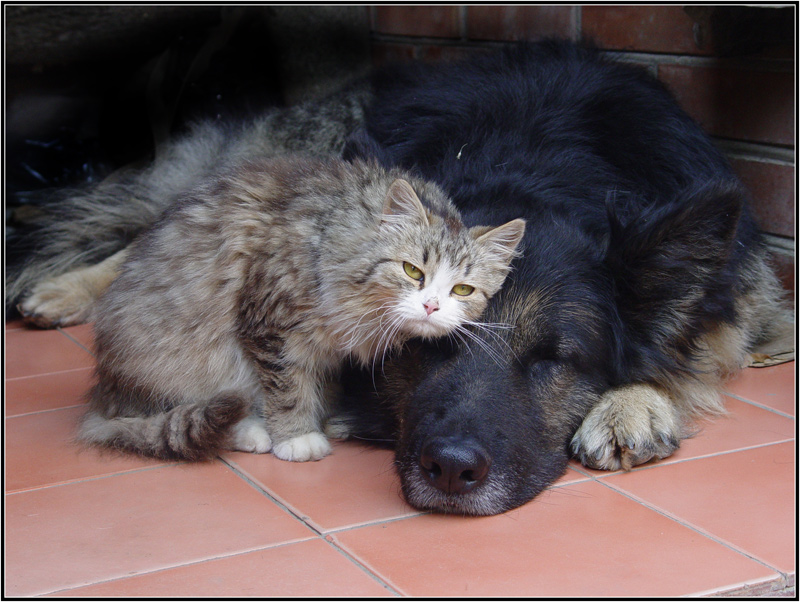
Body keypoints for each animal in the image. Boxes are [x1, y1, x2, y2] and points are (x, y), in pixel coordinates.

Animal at [81, 155, 528, 460]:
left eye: (463, 289)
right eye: (411, 270)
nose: (432, 306)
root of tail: (103, 392)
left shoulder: (328, 352)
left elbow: (319, 387)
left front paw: (328, 419)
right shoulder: (269, 326)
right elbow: (287, 388)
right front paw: (297, 437)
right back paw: (252, 433)